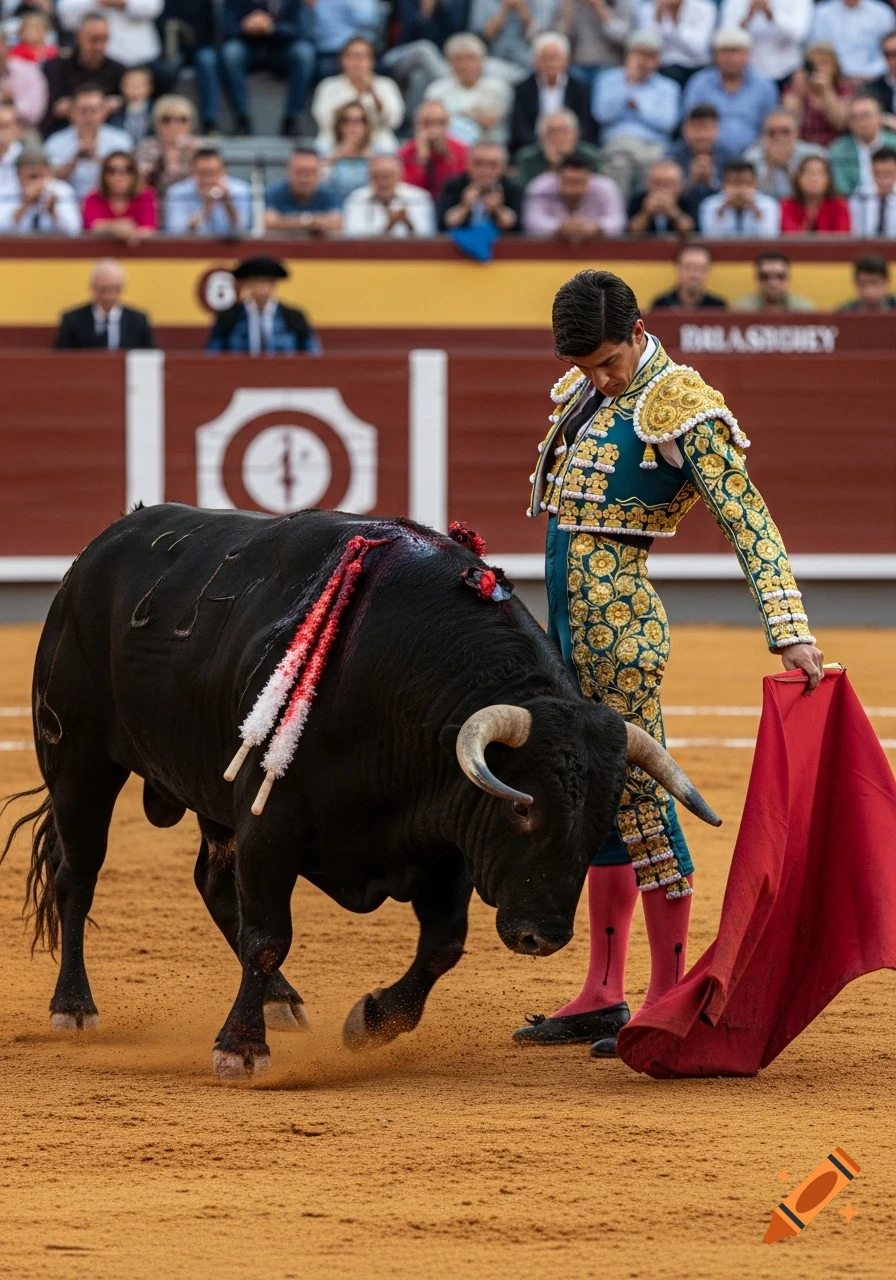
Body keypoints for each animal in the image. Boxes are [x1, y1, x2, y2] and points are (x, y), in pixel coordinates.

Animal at [2, 504, 719, 1078]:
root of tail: (97, 550)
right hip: (79, 762)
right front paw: (240, 1048)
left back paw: (281, 999)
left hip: (208, 786)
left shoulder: (446, 837)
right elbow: (269, 934)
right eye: (523, 810)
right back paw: (74, 1007)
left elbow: (443, 944)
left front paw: (371, 1022)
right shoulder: (269, 826)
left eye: (600, 825)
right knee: (77, 875)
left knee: (210, 882)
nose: (541, 937)